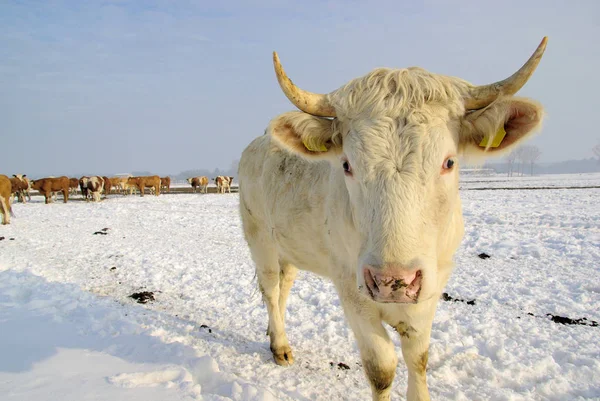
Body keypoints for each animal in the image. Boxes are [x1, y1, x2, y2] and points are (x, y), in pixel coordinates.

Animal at [239, 38, 548, 400]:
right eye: (347, 164)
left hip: (290, 245)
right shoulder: (352, 288)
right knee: (271, 288)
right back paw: (280, 346)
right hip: (259, 238)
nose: (392, 280)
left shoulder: (432, 283)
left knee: (284, 286)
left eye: (449, 162)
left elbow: (418, 357)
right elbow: (382, 367)